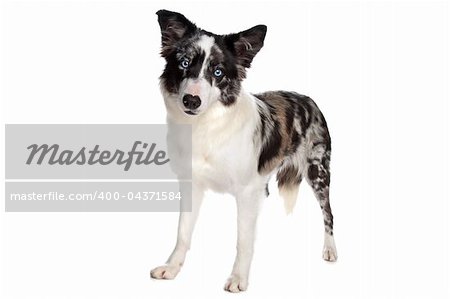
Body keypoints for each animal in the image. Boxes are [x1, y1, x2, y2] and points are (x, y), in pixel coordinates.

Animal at [151, 9, 338, 292]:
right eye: (184, 63)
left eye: (218, 72)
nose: (191, 100)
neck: (207, 127)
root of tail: (308, 99)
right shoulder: (192, 184)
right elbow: (183, 232)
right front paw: (172, 267)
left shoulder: (248, 191)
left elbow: (243, 240)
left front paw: (239, 278)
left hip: (318, 172)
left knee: (328, 213)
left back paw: (330, 250)